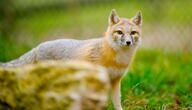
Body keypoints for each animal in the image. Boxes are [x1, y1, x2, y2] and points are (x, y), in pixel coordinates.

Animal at [0, 9, 141, 110]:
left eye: (133, 33)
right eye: (120, 32)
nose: (128, 42)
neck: (117, 58)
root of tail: (37, 46)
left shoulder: (115, 81)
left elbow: (117, 103)